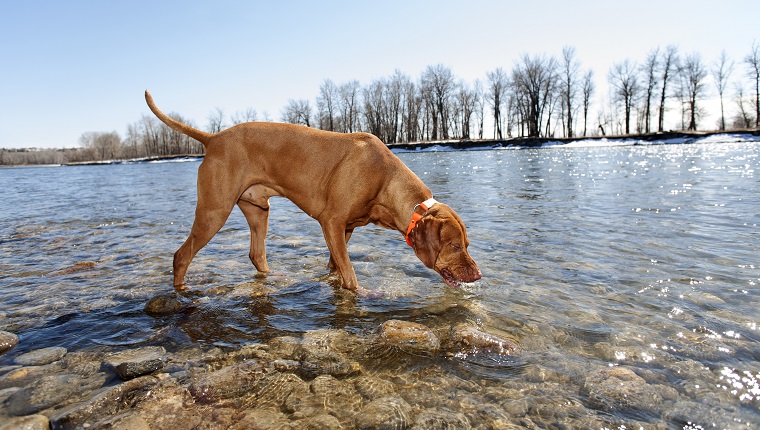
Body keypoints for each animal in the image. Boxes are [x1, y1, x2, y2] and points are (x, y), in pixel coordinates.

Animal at [147, 90, 480, 292]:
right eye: (453, 246)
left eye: (467, 244)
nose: (477, 275)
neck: (384, 178)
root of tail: (213, 138)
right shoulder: (331, 222)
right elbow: (351, 277)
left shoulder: (346, 229)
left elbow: (336, 268)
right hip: (214, 211)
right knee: (181, 256)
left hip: (258, 210)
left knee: (256, 255)